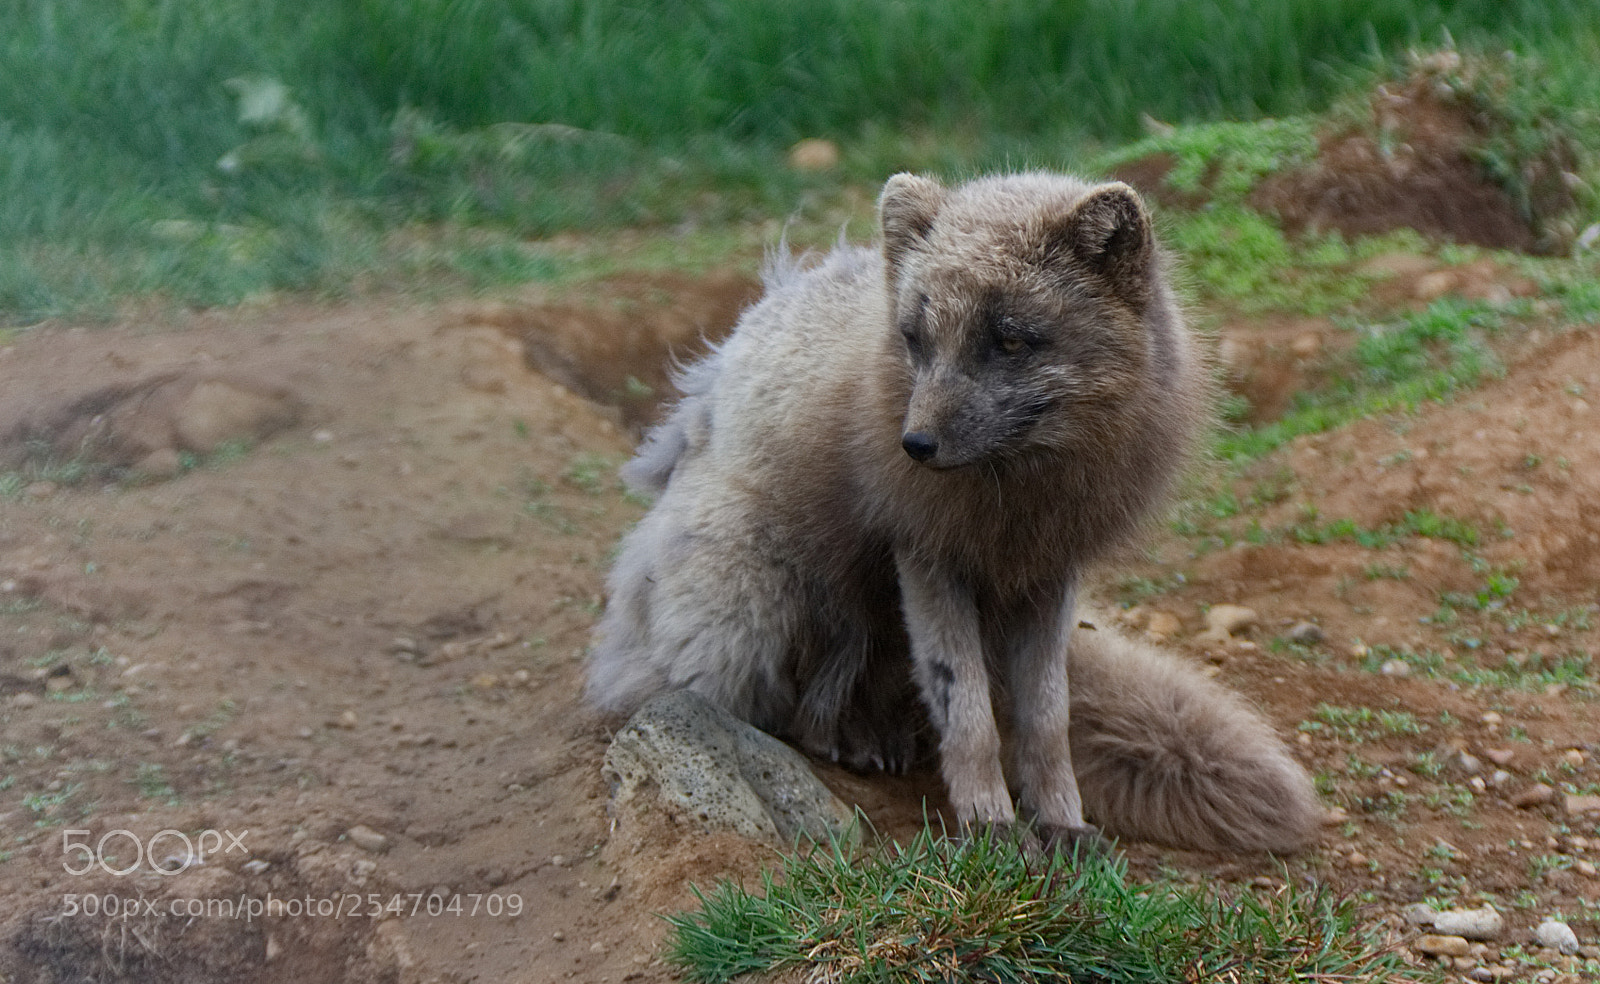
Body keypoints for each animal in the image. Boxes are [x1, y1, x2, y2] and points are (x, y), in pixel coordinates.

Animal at [586, 171, 1322, 854]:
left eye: (1010, 342)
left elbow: (1045, 719)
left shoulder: (1049, 577)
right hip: (752, 593)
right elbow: (967, 713)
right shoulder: (928, 560)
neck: (1016, 502)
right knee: (756, 699)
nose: (915, 446)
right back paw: (826, 740)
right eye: (916, 339)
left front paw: (1063, 823)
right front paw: (990, 826)